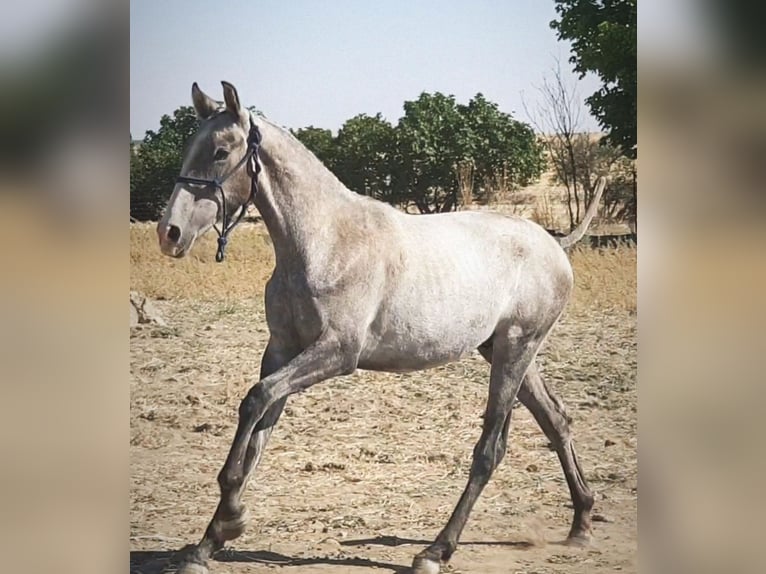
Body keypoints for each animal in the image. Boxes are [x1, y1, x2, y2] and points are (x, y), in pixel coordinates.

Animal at [158, 81, 608, 574]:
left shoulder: (337, 353)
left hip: (515, 349)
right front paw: (209, 542)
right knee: (556, 420)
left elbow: (256, 400)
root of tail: (554, 243)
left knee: (490, 450)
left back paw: (435, 551)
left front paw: (231, 519)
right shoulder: (280, 350)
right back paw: (581, 525)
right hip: (505, 352)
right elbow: (258, 428)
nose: (170, 232)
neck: (324, 242)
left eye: (221, 152)